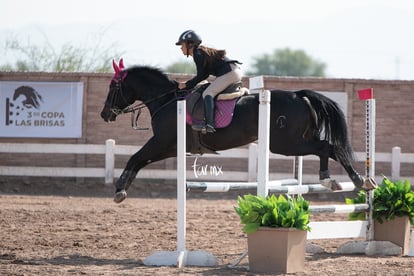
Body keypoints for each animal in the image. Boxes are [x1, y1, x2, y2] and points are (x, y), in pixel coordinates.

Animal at [101, 59, 376, 203]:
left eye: (113, 87)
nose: (105, 114)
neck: (167, 100)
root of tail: (299, 94)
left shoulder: (160, 142)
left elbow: (135, 157)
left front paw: (120, 189)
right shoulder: (168, 148)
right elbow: (139, 161)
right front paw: (122, 188)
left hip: (285, 144)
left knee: (324, 147)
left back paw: (331, 178)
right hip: (297, 140)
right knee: (332, 148)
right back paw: (357, 180)